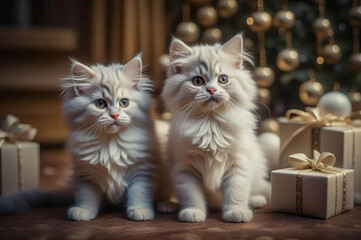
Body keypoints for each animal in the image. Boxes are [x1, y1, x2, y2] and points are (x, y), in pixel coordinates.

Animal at [62, 56, 167, 221]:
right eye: (100, 103)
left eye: (124, 102)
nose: (115, 115)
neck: (111, 144)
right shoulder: (85, 174)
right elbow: (86, 195)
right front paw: (83, 211)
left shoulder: (142, 170)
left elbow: (139, 192)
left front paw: (140, 211)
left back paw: (166, 205)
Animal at [161, 34, 270, 223]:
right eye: (198, 81)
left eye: (223, 79)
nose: (211, 89)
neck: (210, 124)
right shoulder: (185, 169)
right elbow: (191, 195)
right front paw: (193, 212)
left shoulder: (239, 164)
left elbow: (236, 192)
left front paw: (236, 212)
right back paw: (168, 205)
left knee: (256, 189)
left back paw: (256, 200)